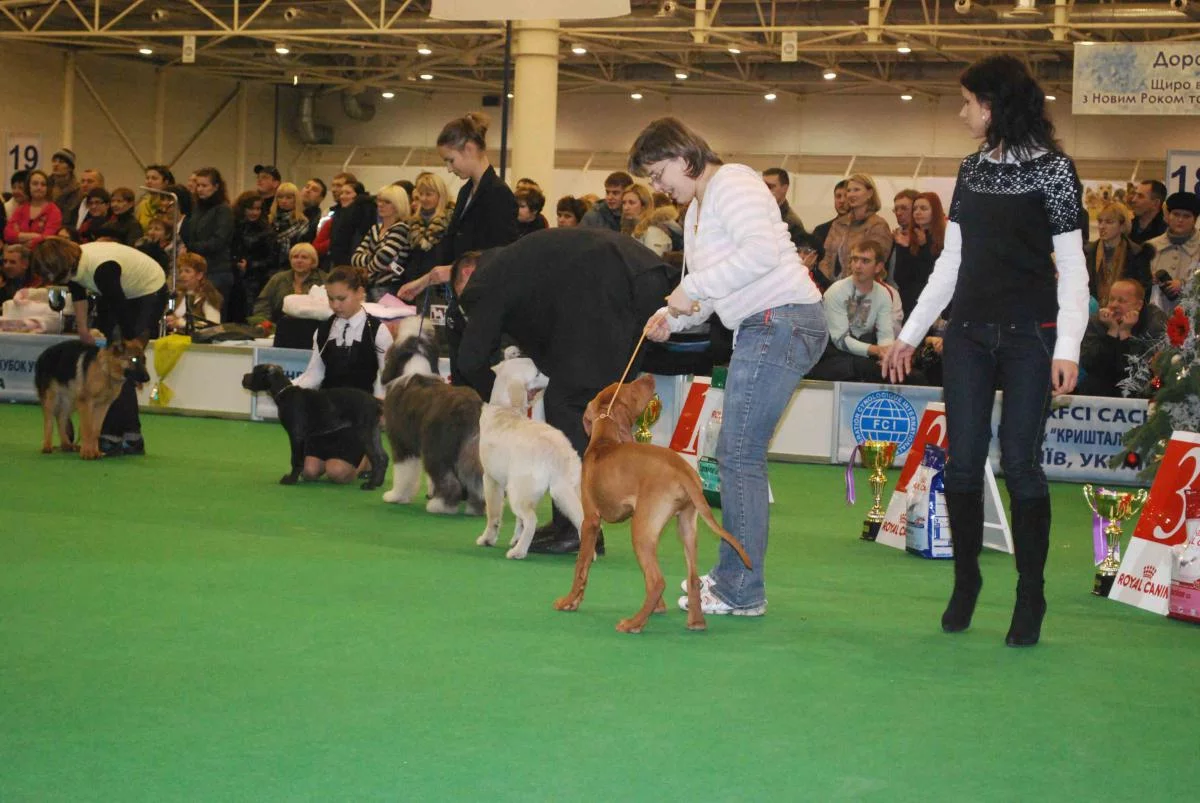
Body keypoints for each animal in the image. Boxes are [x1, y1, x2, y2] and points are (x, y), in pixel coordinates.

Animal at [241, 363, 388, 489]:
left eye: (255, 371)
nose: (243, 377)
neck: (284, 392)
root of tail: (375, 401)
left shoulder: (296, 435)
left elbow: (295, 459)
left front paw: (291, 480)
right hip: (374, 433)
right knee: (383, 457)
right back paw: (378, 483)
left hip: (365, 433)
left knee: (377, 459)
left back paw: (370, 485)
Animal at [477, 357, 584, 559]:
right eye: (537, 373)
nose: (550, 378)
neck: (505, 408)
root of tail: (557, 449)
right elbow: (518, 522)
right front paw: (514, 538)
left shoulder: (491, 479)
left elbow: (493, 515)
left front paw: (487, 539)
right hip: (569, 490)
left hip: (517, 491)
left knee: (531, 519)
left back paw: (518, 551)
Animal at [553, 374, 751, 634]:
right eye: (628, 387)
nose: (647, 376)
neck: (604, 442)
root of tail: (683, 470)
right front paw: (660, 607)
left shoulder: (590, 521)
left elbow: (581, 565)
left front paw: (570, 601)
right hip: (686, 526)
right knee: (692, 579)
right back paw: (696, 621)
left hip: (641, 529)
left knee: (657, 581)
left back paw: (633, 623)